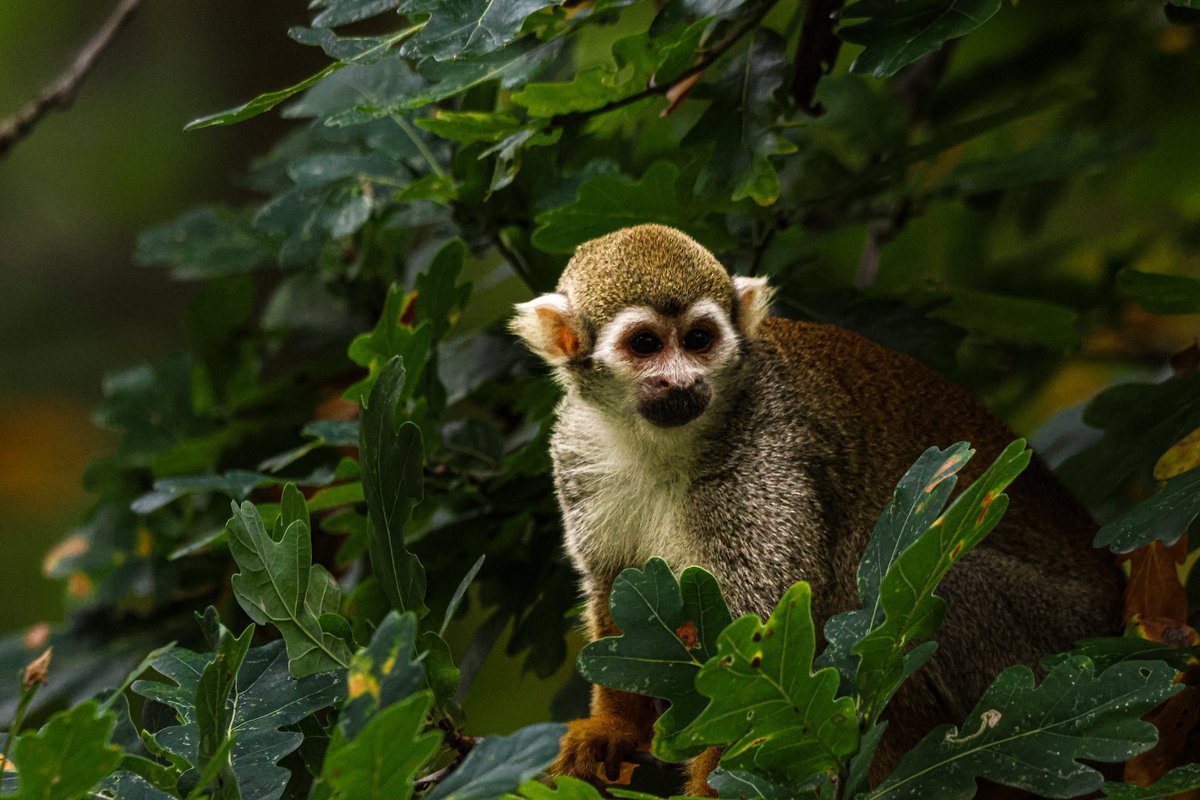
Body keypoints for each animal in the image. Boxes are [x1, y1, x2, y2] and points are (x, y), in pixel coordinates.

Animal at [509, 224, 1122, 796]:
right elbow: (616, 589)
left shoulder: (768, 455)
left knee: (915, 573)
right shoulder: (578, 454)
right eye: (644, 345)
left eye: (700, 339)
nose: (683, 381)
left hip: (1053, 637)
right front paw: (612, 727)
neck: (662, 444)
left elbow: (756, 649)